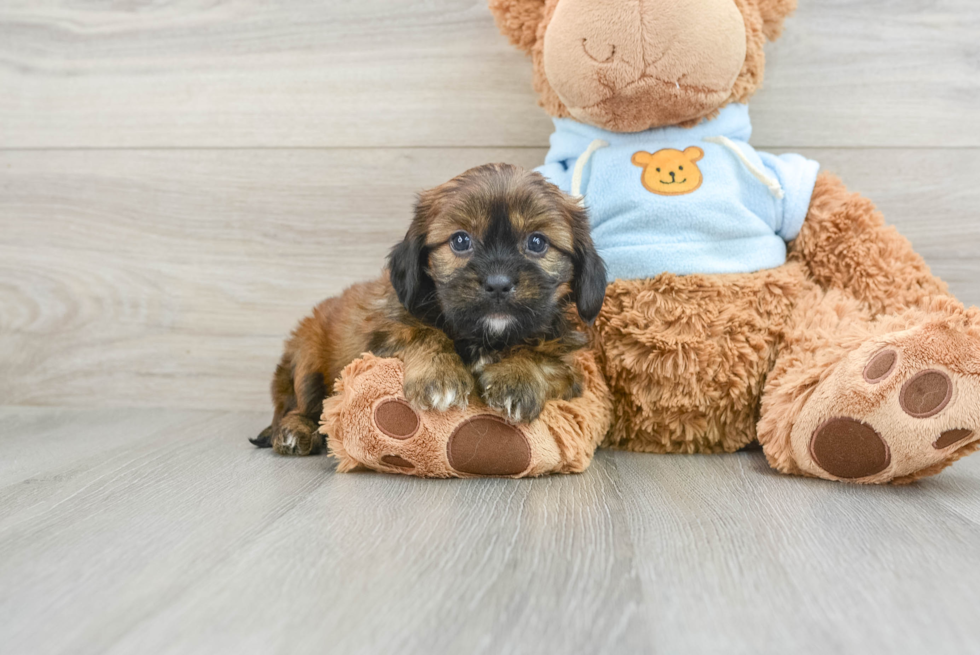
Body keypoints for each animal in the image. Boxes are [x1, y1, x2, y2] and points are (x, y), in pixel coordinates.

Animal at [251, 164, 604, 456]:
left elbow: (545, 358)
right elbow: (423, 333)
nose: (498, 284)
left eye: (537, 242)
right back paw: (294, 432)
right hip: (308, 359)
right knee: (299, 406)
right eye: (460, 241)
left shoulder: (569, 367)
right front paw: (440, 376)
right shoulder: (384, 330)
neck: (485, 337)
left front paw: (517, 379)